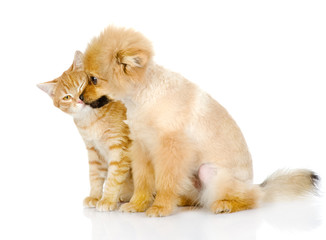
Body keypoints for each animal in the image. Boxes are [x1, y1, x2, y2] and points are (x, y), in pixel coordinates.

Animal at [38, 51, 134, 211]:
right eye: (67, 97)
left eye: (82, 85)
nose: (80, 99)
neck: (92, 119)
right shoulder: (93, 149)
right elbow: (95, 175)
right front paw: (95, 196)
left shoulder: (119, 146)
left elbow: (114, 177)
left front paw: (108, 199)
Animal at [80, 25, 320, 217]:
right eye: (85, 77)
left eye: (94, 79)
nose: (81, 97)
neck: (144, 95)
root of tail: (257, 185)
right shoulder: (141, 148)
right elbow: (143, 182)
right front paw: (137, 205)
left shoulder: (171, 151)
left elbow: (165, 182)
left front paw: (160, 208)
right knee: (197, 196)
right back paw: (184, 201)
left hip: (211, 173)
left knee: (252, 198)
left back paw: (226, 204)